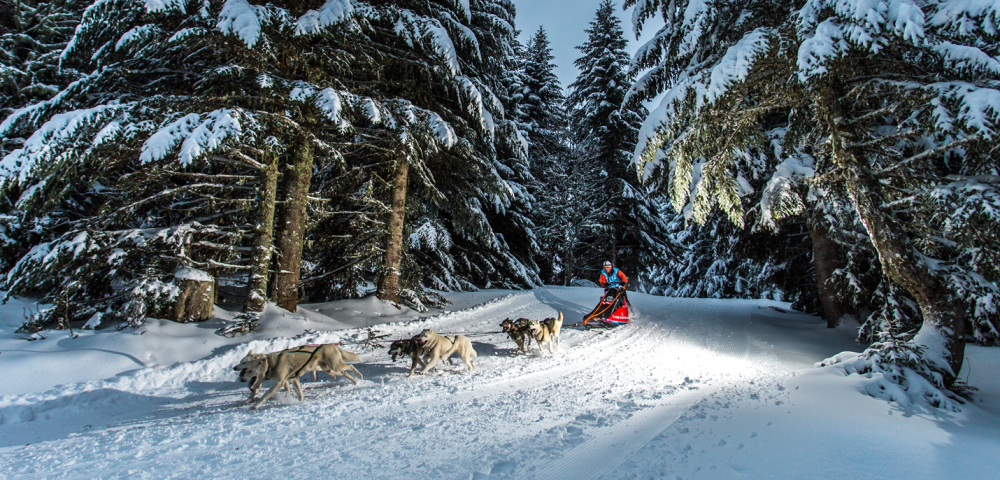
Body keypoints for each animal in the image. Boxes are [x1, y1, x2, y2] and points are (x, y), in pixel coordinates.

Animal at [232, 344, 362, 410]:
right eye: (241, 361)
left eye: (245, 364)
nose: (234, 367)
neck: (270, 364)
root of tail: (332, 345)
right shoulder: (291, 379)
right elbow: (299, 393)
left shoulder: (279, 382)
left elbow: (265, 396)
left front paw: (255, 405)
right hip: (329, 369)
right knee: (344, 373)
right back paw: (354, 381)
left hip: (335, 366)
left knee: (350, 366)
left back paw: (359, 376)